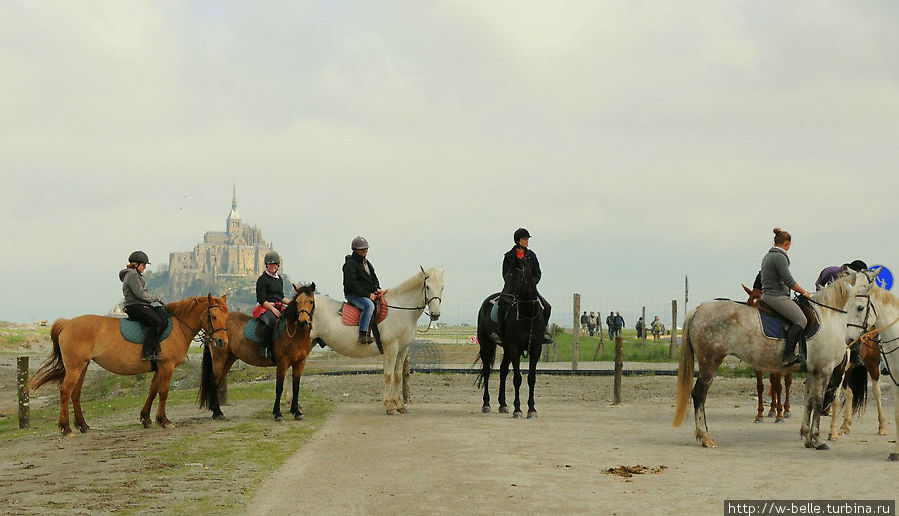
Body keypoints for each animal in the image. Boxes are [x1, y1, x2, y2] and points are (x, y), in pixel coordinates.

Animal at [29, 294, 230, 436]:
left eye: (227, 316)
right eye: (213, 316)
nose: (222, 341)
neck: (178, 326)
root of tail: (67, 323)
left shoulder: (159, 368)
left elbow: (152, 391)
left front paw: (147, 419)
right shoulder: (167, 366)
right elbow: (164, 392)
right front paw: (164, 420)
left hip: (82, 367)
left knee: (75, 394)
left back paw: (83, 426)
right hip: (75, 367)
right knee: (65, 392)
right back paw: (66, 428)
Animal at [198, 284, 316, 422]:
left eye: (311, 301)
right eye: (297, 302)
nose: (303, 322)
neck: (294, 334)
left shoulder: (300, 363)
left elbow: (296, 387)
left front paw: (297, 412)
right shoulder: (282, 363)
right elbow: (279, 388)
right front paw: (278, 414)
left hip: (229, 359)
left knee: (218, 381)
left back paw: (215, 411)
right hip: (219, 358)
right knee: (214, 381)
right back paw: (217, 412)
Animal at [312, 268, 446, 414]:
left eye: (442, 287)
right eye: (427, 287)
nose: (435, 314)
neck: (400, 310)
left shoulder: (402, 349)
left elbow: (398, 375)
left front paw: (400, 406)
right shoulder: (391, 348)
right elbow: (388, 375)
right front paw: (389, 406)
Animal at [474, 264, 544, 418]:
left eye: (519, 279)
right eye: (506, 278)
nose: (503, 302)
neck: (527, 316)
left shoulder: (536, 348)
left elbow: (531, 378)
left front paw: (532, 409)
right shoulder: (515, 347)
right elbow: (517, 378)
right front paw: (517, 409)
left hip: (506, 349)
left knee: (503, 370)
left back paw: (503, 404)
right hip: (487, 345)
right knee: (487, 371)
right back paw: (486, 404)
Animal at [680, 272, 876, 450]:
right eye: (860, 307)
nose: (851, 340)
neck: (827, 317)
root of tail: (698, 309)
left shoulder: (812, 371)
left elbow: (808, 401)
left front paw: (807, 437)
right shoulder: (823, 370)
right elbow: (818, 401)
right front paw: (817, 439)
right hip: (710, 363)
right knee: (699, 394)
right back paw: (705, 437)